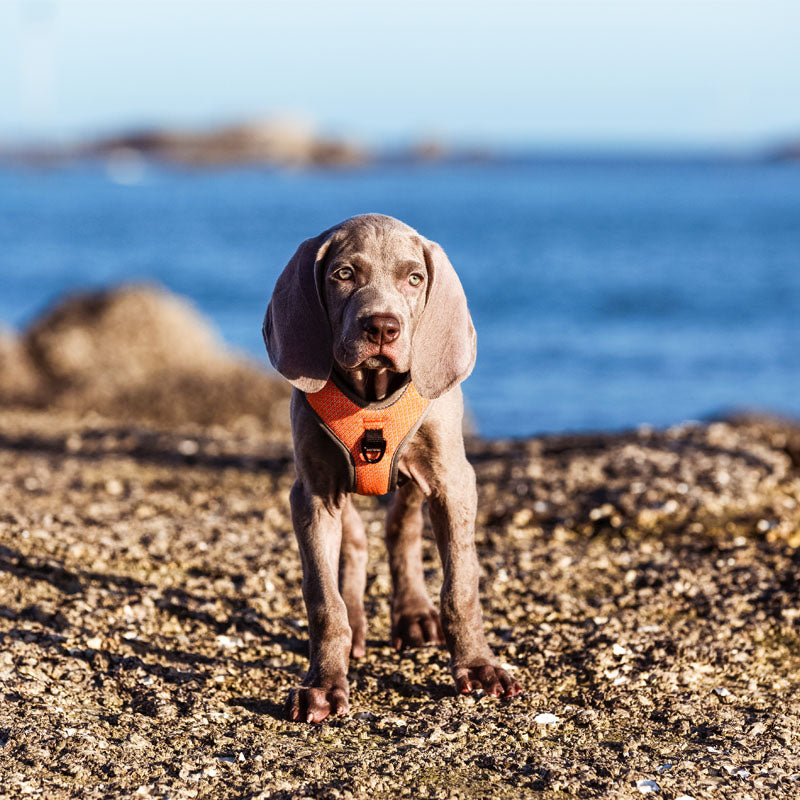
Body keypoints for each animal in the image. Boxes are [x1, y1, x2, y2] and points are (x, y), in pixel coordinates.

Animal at [264, 214, 520, 724]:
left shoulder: (452, 482)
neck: (372, 393)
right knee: (356, 543)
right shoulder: (313, 492)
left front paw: (478, 667)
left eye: (414, 278)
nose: (382, 327)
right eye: (343, 274)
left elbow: (461, 584)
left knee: (401, 529)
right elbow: (323, 597)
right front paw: (323, 685)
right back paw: (359, 625)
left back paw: (414, 614)